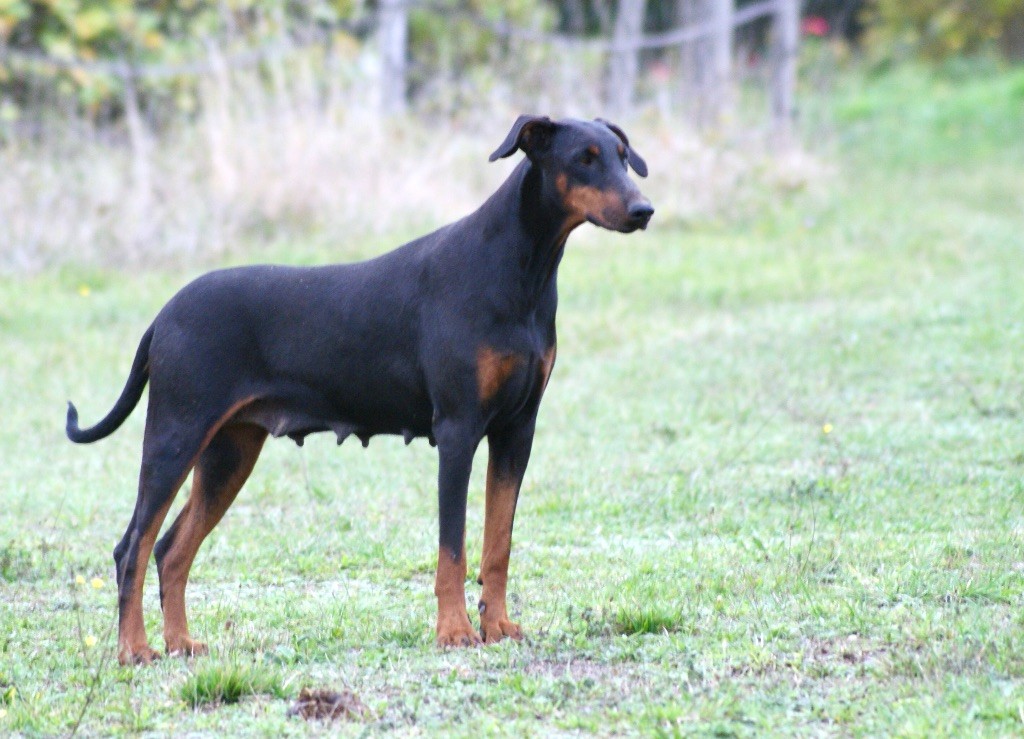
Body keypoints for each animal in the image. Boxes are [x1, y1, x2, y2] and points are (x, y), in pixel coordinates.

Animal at [66, 113, 655, 663]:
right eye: (584, 158)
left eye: (624, 157)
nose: (644, 210)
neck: (520, 268)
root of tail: (162, 316)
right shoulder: (458, 430)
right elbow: (453, 549)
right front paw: (454, 632)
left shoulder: (517, 431)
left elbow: (498, 544)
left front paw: (497, 627)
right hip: (176, 436)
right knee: (132, 547)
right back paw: (134, 649)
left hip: (228, 453)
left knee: (170, 549)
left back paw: (181, 643)